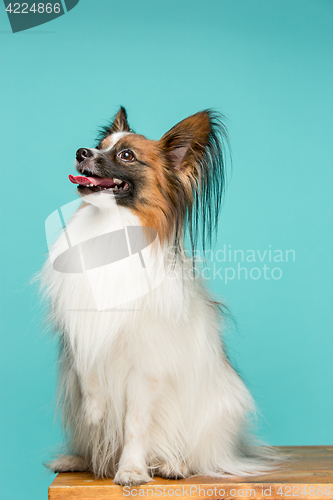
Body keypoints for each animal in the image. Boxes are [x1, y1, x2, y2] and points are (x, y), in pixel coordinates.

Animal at [40, 108, 276, 484]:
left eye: (126, 156)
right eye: (98, 145)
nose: (81, 152)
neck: (109, 228)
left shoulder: (145, 367)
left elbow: (135, 423)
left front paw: (131, 470)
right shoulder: (82, 331)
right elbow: (89, 378)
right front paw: (94, 412)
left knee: (193, 456)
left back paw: (171, 465)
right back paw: (77, 459)